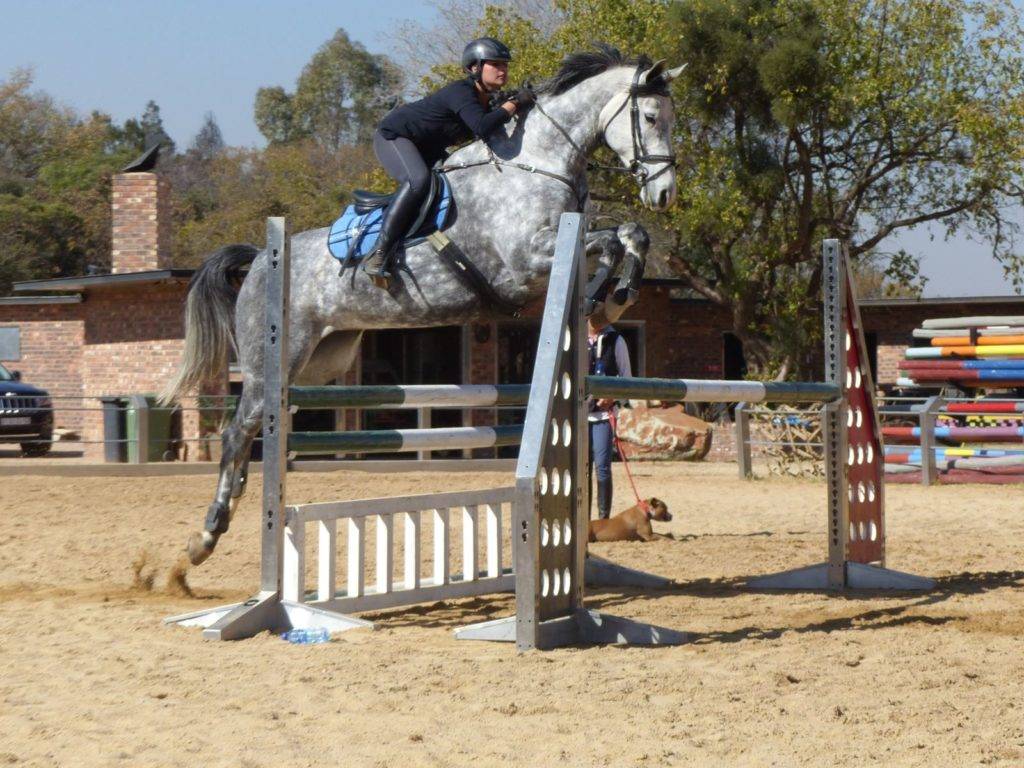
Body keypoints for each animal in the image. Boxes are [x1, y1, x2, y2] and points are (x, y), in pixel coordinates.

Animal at [162, 45, 684, 566]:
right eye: (651, 116)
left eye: (672, 118)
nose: (663, 194)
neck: (537, 161)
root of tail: (259, 259)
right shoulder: (526, 262)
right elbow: (610, 243)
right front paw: (600, 297)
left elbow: (630, 234)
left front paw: (617, 297)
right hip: (271, 359)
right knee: (237, 430)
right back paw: (208, 532)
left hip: (320, 361)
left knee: (257, 426)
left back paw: (234, 504)